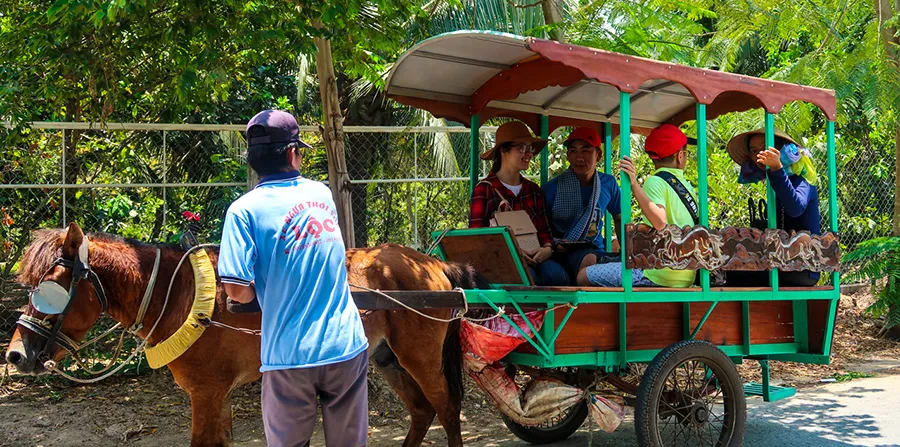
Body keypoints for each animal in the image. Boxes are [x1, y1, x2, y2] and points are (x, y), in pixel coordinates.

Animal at [3, 224, 488, 447]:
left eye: (51, 289)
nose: (16, 354)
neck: (179, 295)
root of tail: (430, 263)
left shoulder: (206, 392)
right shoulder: (216, 394)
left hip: (420, 357)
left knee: (447, 409)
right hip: (387, 359)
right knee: (422, 411)